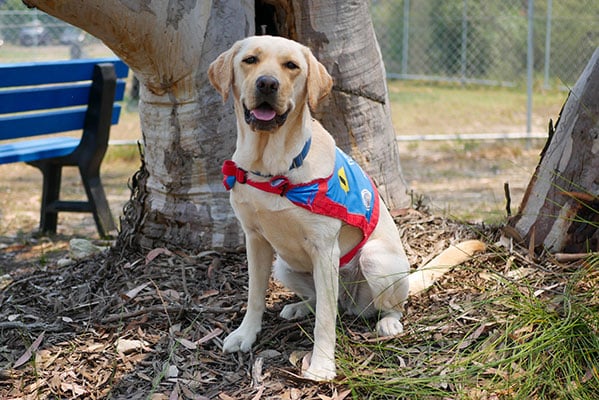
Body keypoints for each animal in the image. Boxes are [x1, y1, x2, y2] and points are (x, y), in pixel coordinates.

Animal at [209, 35, 486, 382]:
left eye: (291, 66)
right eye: (250, 60)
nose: (267, 83)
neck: (273, 169)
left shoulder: (324, 249)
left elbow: (325, 322)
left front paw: (322, 365)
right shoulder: (255, 240)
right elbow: (255, 296)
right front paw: (246, 334)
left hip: (375, 261)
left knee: (383, 306)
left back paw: (388, 322)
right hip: (284, 266)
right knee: (322, 300)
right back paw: (299, 307)